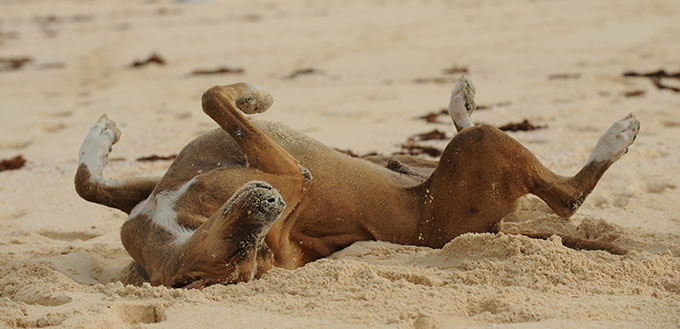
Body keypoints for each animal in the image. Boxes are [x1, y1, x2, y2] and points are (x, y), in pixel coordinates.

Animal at [77, 79, 640, 288]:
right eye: (242, 251)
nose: (272, 204)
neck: (175, 231)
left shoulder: (148, 197)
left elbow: (88, 185)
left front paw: (99, 137)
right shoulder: (290, 173)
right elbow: (214, 97)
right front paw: (253, 96)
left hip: (418, 157)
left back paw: (460, 99)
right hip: (479, 153)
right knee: (567, 197)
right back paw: (616, 137)